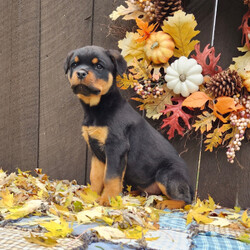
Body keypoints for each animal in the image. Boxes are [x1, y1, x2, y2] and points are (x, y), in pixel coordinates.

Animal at [65, 45, 193, 209]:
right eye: (74, 64)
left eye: (99, 66)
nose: (80, 72)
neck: (96, 108)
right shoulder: (96, 151)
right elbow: (95, 176)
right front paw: (90, 195)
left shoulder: (116, 147)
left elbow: (110, 177)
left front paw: (107, 200)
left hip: (167, 174)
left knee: (187, 199)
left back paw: (167, 203)